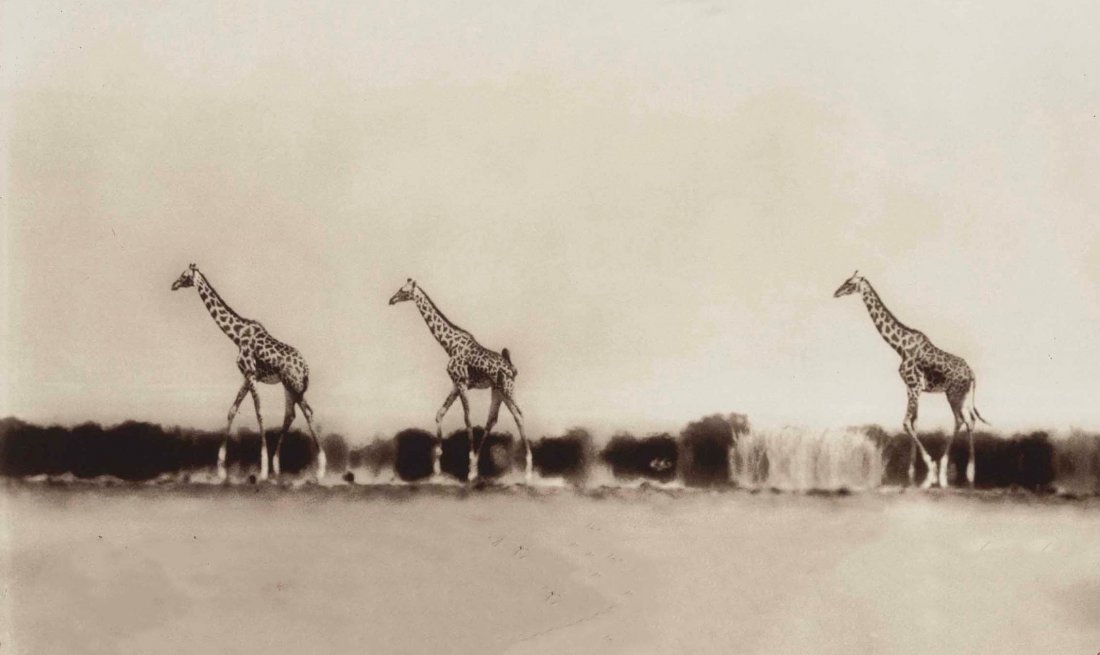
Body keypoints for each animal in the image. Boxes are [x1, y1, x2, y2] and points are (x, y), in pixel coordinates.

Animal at [172, 264, 326, 482]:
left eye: (184, 275)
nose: (173, 285)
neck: (236, 335)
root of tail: (305, 368)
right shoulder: (247, 376)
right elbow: (232, 410)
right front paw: (221, 470)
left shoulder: (251, 374)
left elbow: (259, 413)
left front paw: (262, 470)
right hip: (287, 386)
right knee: (291, 415)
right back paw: (278, 467)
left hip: (294, 384)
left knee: (307, 412)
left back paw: (320, 470)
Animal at [388, 279, 533, 484]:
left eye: (403, 290)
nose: (391, 300)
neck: (449, 345)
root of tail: (512, 368)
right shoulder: (456, 384)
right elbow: (439, 413)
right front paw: (438, 469)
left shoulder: (462, 383)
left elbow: (468, 419)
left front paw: (468, 471)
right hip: (497, 390)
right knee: (493, 420)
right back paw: (483, 465)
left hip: (508, 388)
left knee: (519, 415)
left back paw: (527, 472)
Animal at [833, 271, 988, 488]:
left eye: (850, 283)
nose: (836, 292)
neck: (900, 346)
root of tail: (973, 374)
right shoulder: (911, 388)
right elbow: (914, 422)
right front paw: (913, 475)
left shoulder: (914, 386)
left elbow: (906, 423)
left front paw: (929, 473)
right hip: (961, 394)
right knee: (968, 421)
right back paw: (967, 475)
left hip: (954, 393)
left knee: (961, 420)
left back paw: (952, 474)